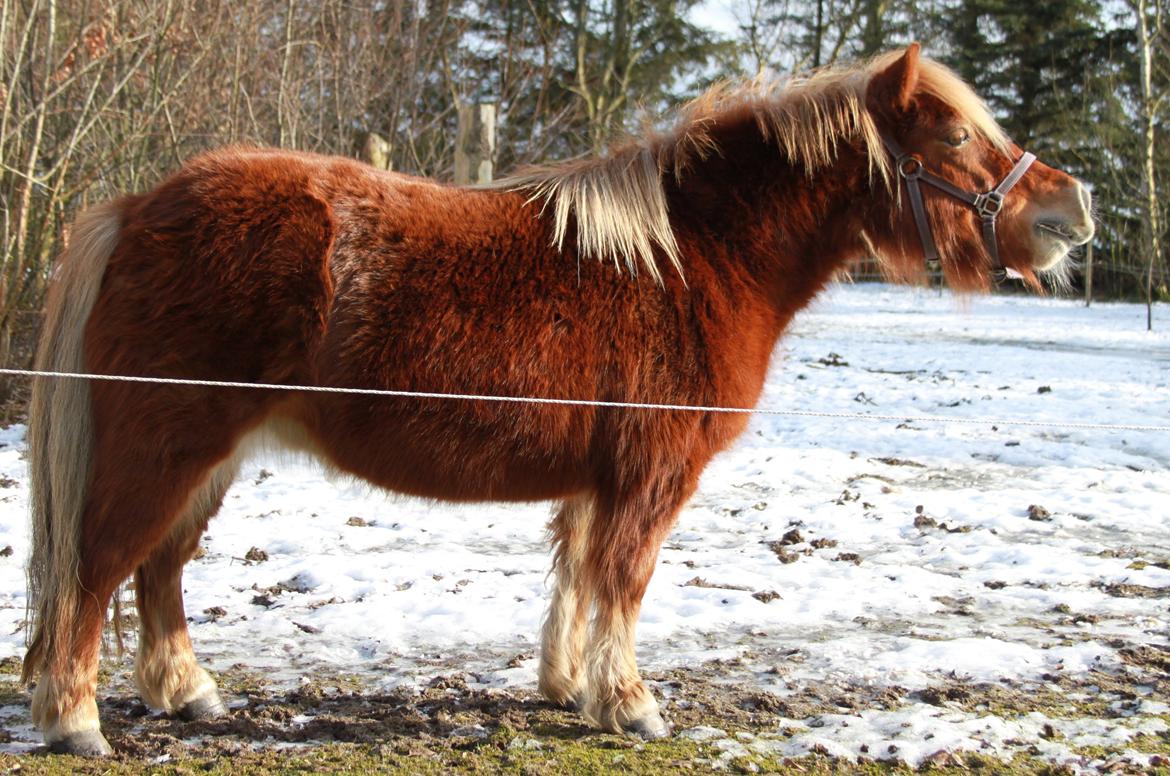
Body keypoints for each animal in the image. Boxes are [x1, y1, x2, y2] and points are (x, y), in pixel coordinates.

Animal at [20, 45, 1095, 753]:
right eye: (953, 132)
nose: (1071, 209)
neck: (693, 256)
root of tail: (137, 207)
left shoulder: (600, 479)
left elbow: (579, 580)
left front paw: (568, 687)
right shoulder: (651, 477)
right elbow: (624, 582)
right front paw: (630, 704)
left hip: (212, 457)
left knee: (159, 571)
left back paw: (186, 694)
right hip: (163, 447)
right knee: (99, 567)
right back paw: (75, 719)